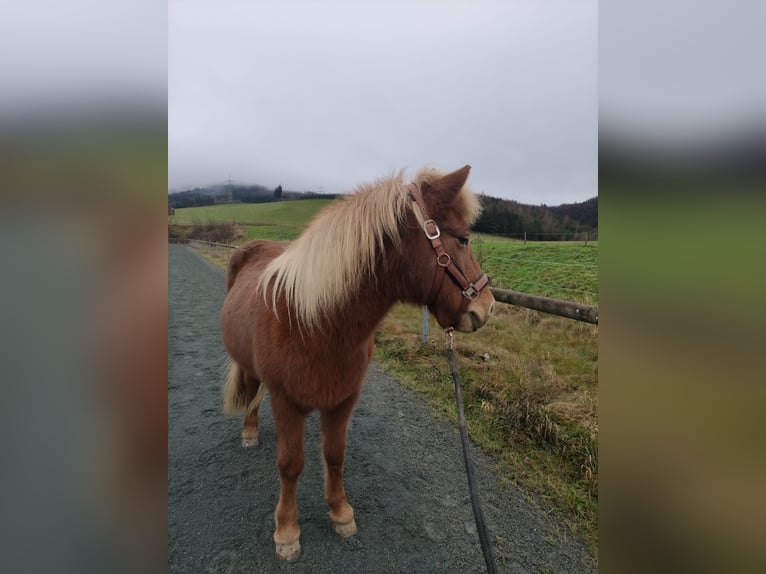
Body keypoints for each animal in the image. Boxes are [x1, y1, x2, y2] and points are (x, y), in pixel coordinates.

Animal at [220, 165, 495, 561]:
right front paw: (286, 532)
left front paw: (340, 512)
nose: (486, 309)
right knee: (253, 392)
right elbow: (290, 465)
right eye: (463, 238)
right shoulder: (286, 402)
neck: (314, 322)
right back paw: (250, 431)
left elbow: (335, 455)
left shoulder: (344, 400)